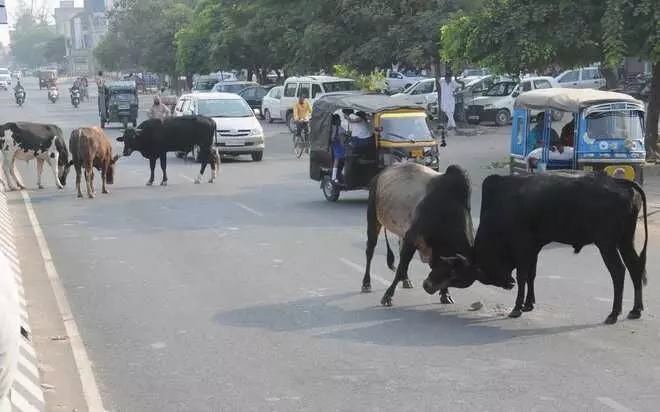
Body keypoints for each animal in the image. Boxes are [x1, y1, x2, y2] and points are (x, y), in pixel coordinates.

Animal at [436, 173, 648, 326]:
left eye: (480, 271)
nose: (508, 283)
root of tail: (622, 183)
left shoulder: (522, 245)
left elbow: (523, 275)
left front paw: (517, 307)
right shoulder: (534, 247)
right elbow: (532, 274)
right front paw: (528, 304)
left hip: (607, 243)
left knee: (619, 272)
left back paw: (614, 313)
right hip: (625, 240)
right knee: (635, 267)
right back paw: (635, 310)